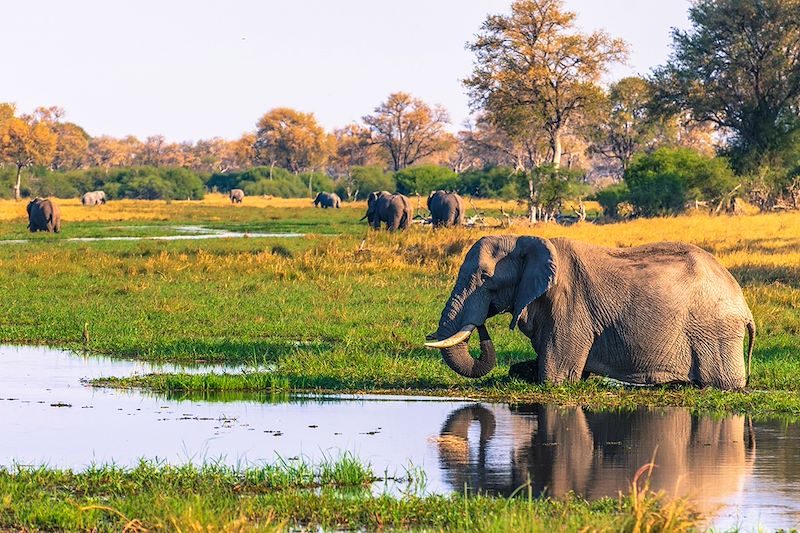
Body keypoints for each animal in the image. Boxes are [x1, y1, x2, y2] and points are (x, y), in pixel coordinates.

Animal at [424, 235, 756, 388]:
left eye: (485, 277)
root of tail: (744, 305)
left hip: (715, 331)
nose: (480, 323)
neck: (528, 240)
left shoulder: (571, 306)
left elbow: (554, 377)